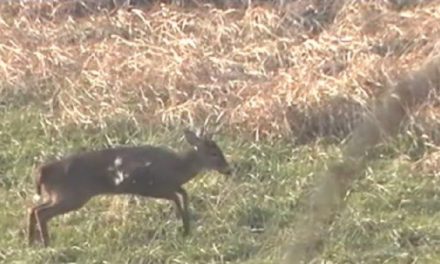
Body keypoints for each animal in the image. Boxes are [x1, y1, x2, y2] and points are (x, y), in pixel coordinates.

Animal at [27, 129, 232, 246]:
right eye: (214, 153)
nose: (228, 170)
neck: (178, 167)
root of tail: (43, 171)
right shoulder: (155, 186)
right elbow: (178, 196)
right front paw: (184, 226)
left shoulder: (170, 185)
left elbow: (183, 194)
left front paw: (186, 226)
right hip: (72, 196)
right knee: (41, 212)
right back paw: (45, 242)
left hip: (57, 195)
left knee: (33, 208)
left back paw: (31, 241)